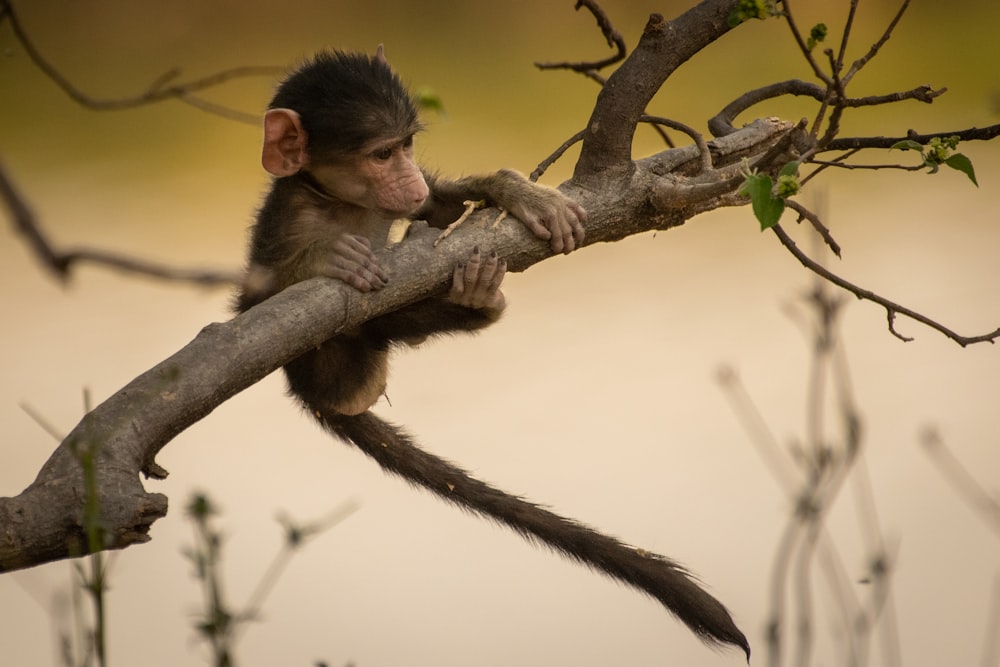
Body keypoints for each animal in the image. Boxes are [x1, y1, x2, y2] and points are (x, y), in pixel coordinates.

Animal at [236, 49, 752, 660]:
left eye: (407, 146)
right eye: (382, 153)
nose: (409, 177)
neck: (336, 202)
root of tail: (314, 397)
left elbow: (441, 209)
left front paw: (516, 193)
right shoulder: (287, 219)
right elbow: (254, 314)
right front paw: (327, 257)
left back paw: (474, 299)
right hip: (336, 373)